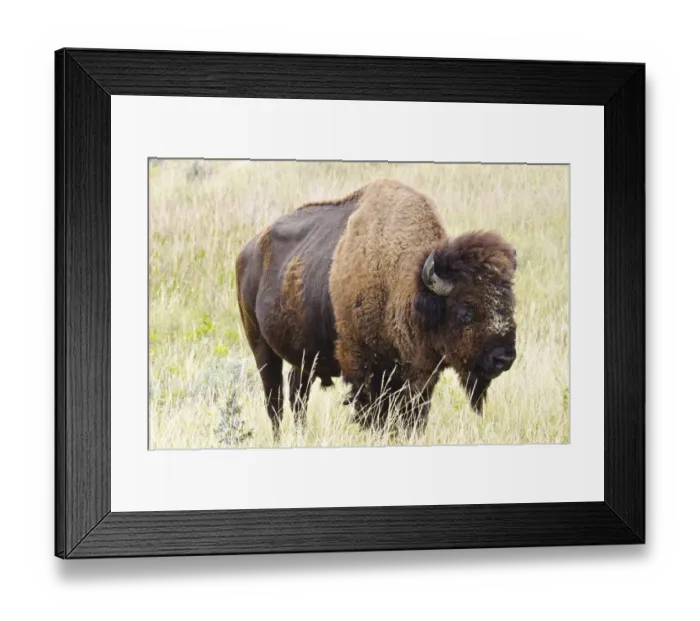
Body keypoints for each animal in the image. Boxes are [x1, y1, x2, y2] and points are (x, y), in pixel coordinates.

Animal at [236, 179, 517, 439]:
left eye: (510, 304)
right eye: (465, 311)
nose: (504, 358)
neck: (406, 283)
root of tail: (247, 251)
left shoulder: (419, 374)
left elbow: (414, 414)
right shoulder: (363, 367)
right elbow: (374, 413)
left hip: (303, 355)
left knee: (298, 394)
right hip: (260, 346)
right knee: (275, 398)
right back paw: (278, 437)